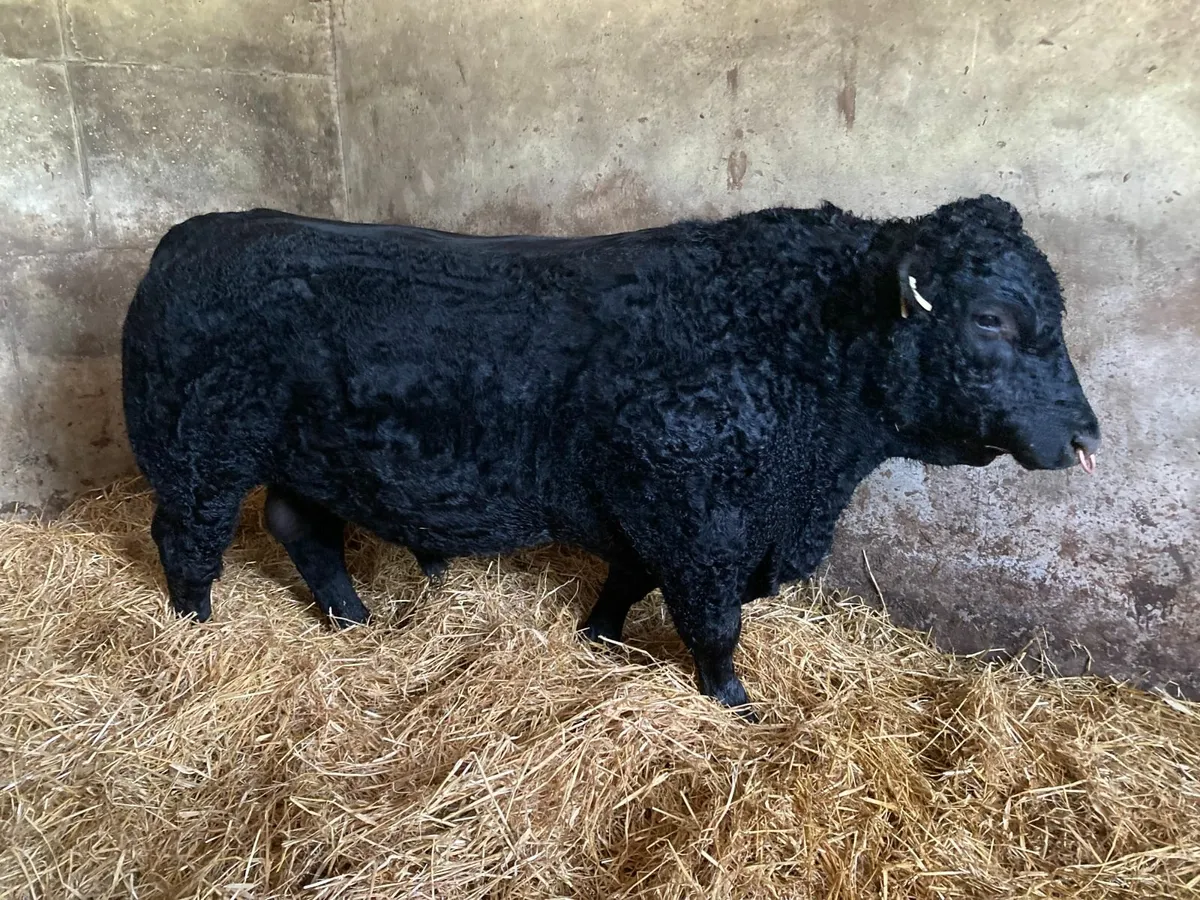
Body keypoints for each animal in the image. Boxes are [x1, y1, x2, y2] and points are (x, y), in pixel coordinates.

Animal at [121, 194, 1100, 718]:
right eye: (992, 318)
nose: (1087, 437)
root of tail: (195, 232)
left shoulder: (655, 512)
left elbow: (626, 583)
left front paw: (598, 638)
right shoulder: (698, 520)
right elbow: (712, 624)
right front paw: (731, 704)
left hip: (303, 459)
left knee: (302, 530)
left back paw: (353, 621)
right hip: (198, 455)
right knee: (186, 539)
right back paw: (193, 627)